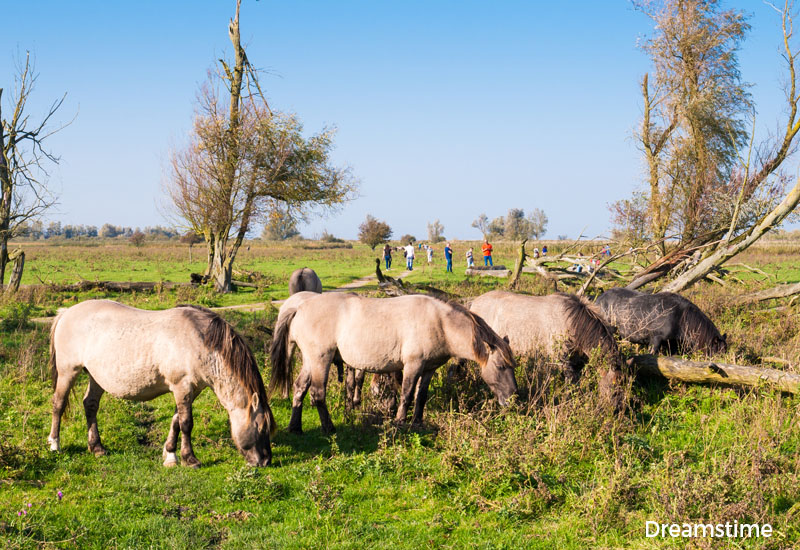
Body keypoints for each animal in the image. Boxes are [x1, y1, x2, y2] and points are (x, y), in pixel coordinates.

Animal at [48, 300, 275, 468]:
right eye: (261, 426)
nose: (265, 461)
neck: (199, 341)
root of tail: (66, 313)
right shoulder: (182, 387)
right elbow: (186, 423)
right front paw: (190, 459)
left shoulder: (188, 391)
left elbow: (176, 421)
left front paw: (170, 455)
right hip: (68, 372)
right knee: (58, 404)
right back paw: (54, 444)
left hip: (96, 377)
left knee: (90, 405)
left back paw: (96, 447)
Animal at [269, 292, 518, 433]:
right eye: (500, 366)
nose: (513, 400)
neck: (440, 323)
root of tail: (299, 308)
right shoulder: (412, 366)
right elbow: (406, 395)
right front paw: (400, 423)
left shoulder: (428, 369)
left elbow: (421, 397)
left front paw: (417, 422)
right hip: (321, 360)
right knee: (318, 394)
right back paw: (329, 429)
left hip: (310, 361)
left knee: (300, 388)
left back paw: (295, 428)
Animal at [468, 290, 623, 397]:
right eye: (615, 390)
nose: (615, 412)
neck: (570, 322)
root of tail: (473, 303)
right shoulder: (560, 359)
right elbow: (570, 382)